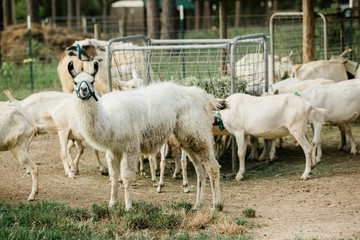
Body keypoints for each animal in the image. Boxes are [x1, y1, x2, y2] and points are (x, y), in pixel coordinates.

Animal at [68, 60, 225, 210]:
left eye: (92, 81)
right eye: (75, 82)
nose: (83, 90)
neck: (110, 118)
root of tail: (204, 96)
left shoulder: (130, 146)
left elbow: (127, 176)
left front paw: (128, 207)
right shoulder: (113, 150)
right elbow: (114, 176)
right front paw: (112, 204)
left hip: (198, 133)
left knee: (212, 167)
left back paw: (216, 205)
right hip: (186, 138)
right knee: (200, 170)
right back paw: (197, 205)